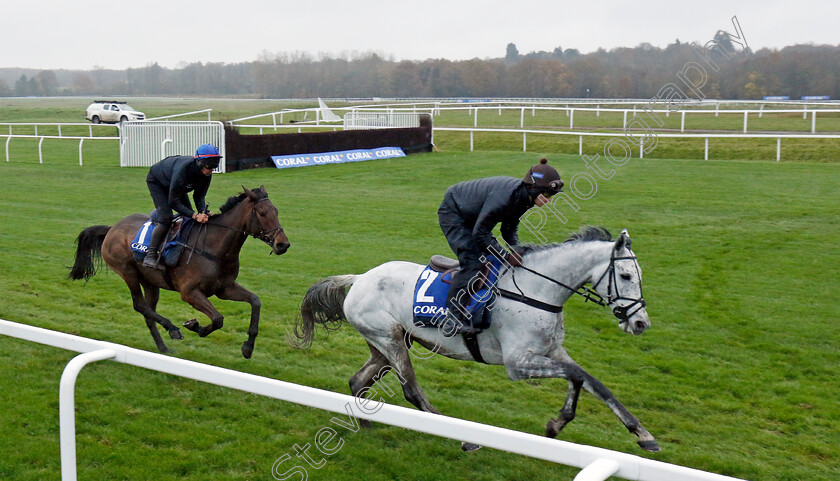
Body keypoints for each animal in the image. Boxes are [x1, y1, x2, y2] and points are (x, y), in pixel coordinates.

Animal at [67, 186, 288, 358]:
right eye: (262, 213)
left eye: (276, 211)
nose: (283, 244)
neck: (214, 248)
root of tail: (112, 228)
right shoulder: (189, 293)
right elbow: (217, 319)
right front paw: (194, 326)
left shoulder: (224, 288)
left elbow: (255, 301)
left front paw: (248, 346)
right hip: (127, 272)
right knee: (139, 305)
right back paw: (172, 329)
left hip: (150, 281)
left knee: (148, 311)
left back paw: (163, 347)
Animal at [296, 225, 656, 450]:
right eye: (626, 275)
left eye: (639, 276)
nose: (640, 323)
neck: (537, 290)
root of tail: (359, 278)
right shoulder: (517, 364)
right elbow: (577, 376)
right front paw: (558, 423)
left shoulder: (552, 351)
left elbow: (593, 382)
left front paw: (642, 434)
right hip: (390, 340)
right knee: (412, 390)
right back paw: (464, 438)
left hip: (388, 342)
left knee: (359, 380)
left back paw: (367, 424)